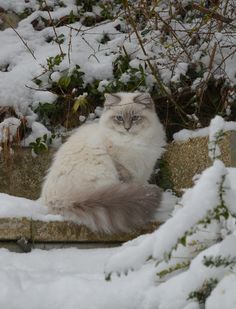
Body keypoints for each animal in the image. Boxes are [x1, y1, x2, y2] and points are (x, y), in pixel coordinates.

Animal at [40, 92, 166, 232]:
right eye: (119, 118)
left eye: (135, 118)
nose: (127, 128)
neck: (134, 142)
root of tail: (58, 199)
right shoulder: (123, 167)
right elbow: (130, 182)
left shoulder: (144, 170)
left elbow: (140, 183)